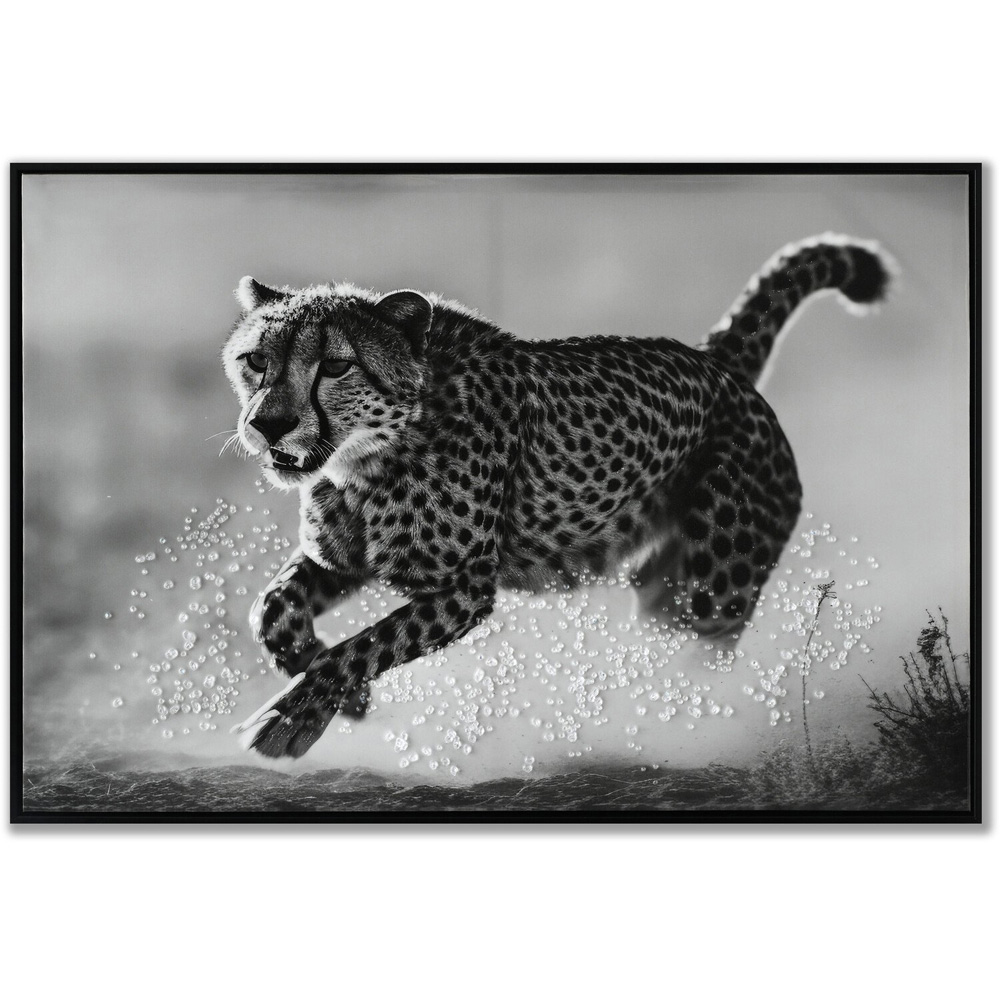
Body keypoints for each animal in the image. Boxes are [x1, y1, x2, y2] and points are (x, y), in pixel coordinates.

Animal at [222, 233, 894, 758]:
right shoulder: (343, 560)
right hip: (665, 594)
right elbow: (271, 610)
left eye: (336, 366)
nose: (269, 425)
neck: (365, 460)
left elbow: (359, 647)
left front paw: (294, 715)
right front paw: (346, 698)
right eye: (255, 361)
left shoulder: (465, 588)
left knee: (709, 664)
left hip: (716, 592)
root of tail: (713, 362)